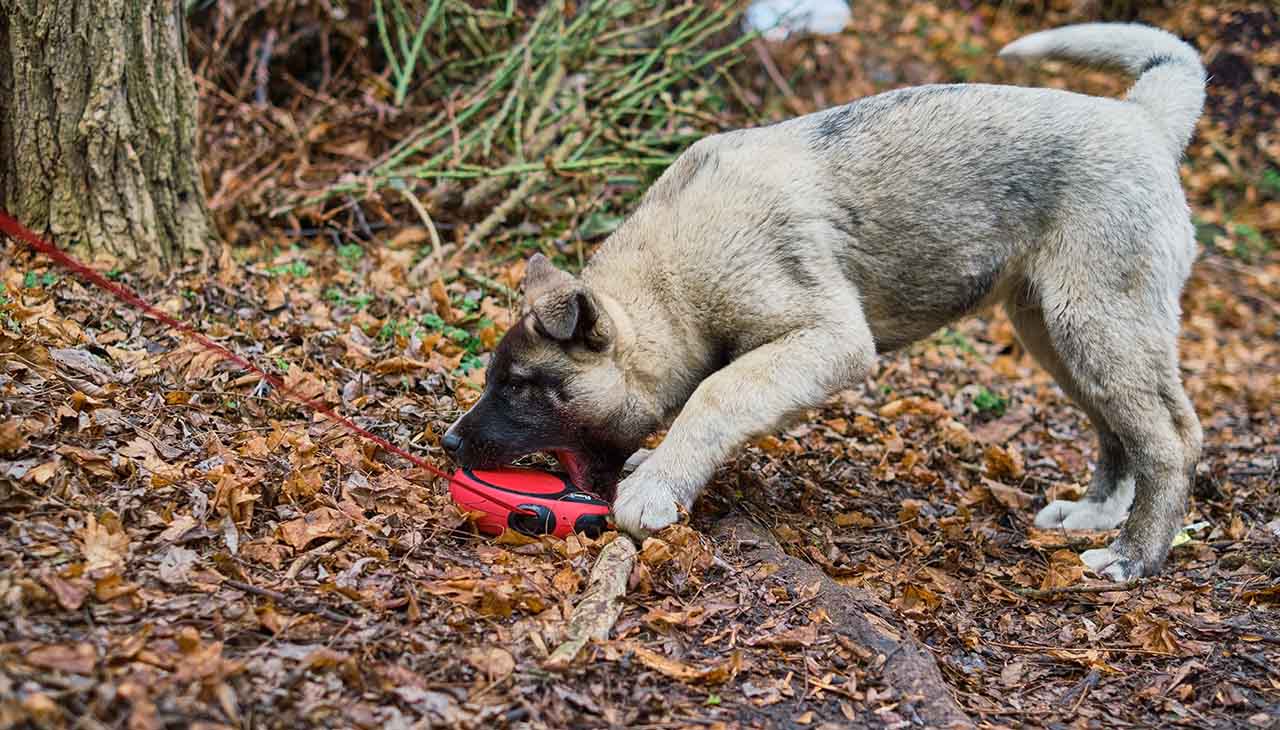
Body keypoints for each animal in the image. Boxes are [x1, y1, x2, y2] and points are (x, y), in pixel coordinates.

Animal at [445, 22, 1203, 578]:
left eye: (521, 387)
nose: (449, 442)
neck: (675, 278)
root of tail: (1142, 121)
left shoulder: (828, 339)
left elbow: (716, 394)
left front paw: (658, 485)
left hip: (1097, 322)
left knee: (1171, 439)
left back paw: (1132, 558)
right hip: (1054, 331)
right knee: (1122, 430)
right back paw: (1095, 514)